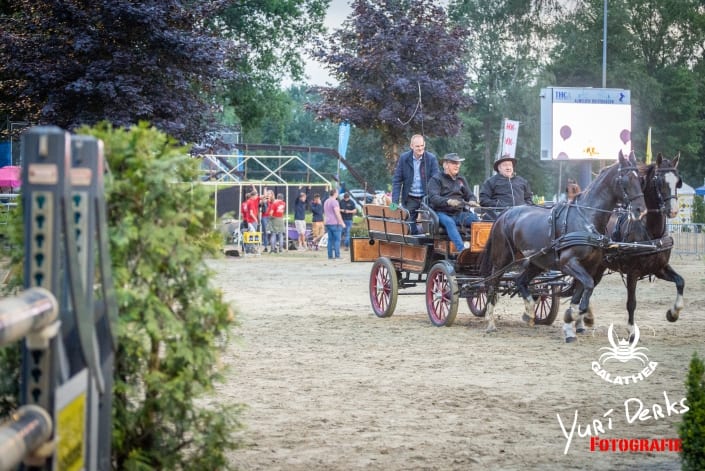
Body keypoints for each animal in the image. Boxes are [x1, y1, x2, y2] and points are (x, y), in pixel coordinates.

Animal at [572, 154, 680, 342]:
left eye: (677, 181)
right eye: (659, 181)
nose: (672, 210)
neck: (650, 232)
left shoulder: (659, 268)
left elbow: (681, 282)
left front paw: (673, 313)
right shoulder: (632, 272)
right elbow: (631, 303)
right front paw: (631, 332)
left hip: (598, 267)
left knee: (585, 286)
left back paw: (583, 321)